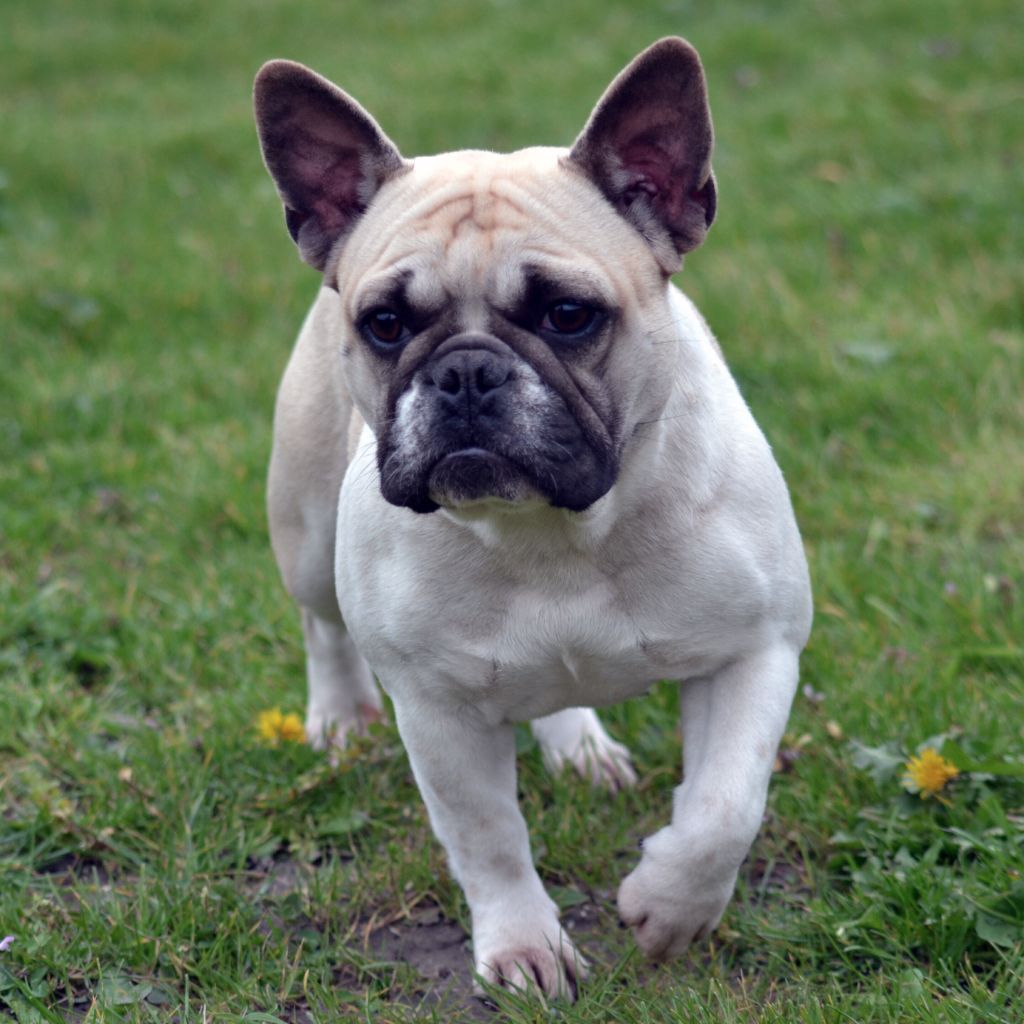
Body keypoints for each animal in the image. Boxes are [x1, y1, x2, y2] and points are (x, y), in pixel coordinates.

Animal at [253, 37, 806, 999]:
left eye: (568, 315)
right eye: (386, 323)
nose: (465, 373)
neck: (555, 534)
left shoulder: (757, 649)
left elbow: (724, 808)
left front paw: (668, 907)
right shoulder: (437, 710)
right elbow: (488, 838)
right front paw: (522, 947)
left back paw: (579, 747)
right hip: (310, 536)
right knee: (322, 625)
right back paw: (338, 718)